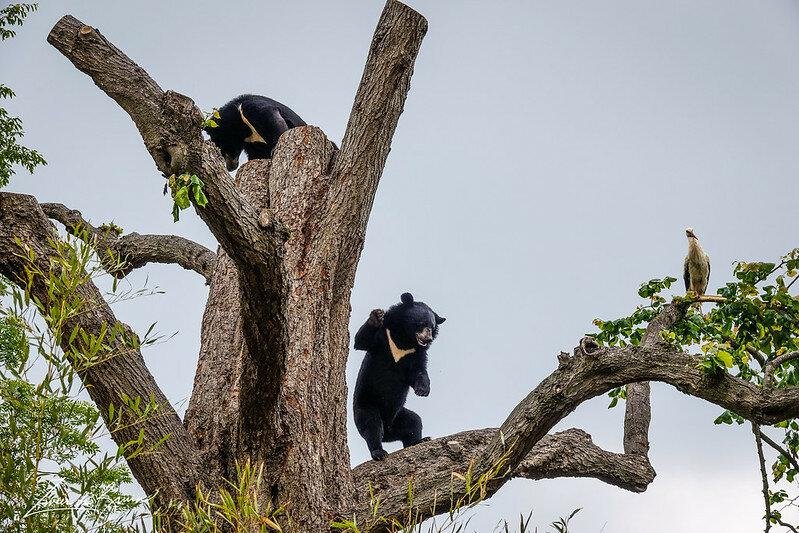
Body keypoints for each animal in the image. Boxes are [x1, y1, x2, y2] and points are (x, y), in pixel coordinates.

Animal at [354, 294, 446, 460]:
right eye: (421, 324)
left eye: (432, 326)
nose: (428, 338)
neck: (405, 341)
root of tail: (388, 434)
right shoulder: (383, 340)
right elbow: (361, 341)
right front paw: (376, 316)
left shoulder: (415, 354)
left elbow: (419, 372)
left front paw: (422, 390)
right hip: (366, 406)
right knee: (371, 426)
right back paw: (379, 452)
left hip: (399, 416)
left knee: (414, 423)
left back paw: (420, 440)